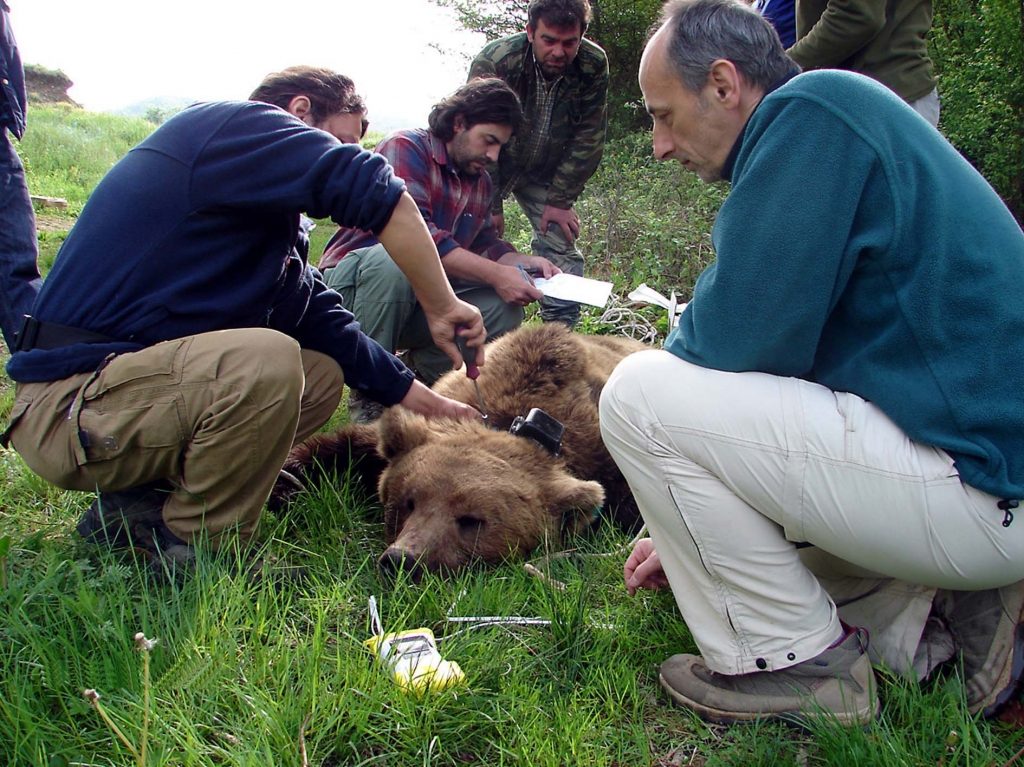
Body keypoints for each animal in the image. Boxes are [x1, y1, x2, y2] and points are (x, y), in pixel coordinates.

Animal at [276, 321, 643, 573]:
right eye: (407, 501)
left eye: (471, 520)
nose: (403, 560)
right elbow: (349, 448)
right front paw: (287, 480)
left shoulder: (606, 452)